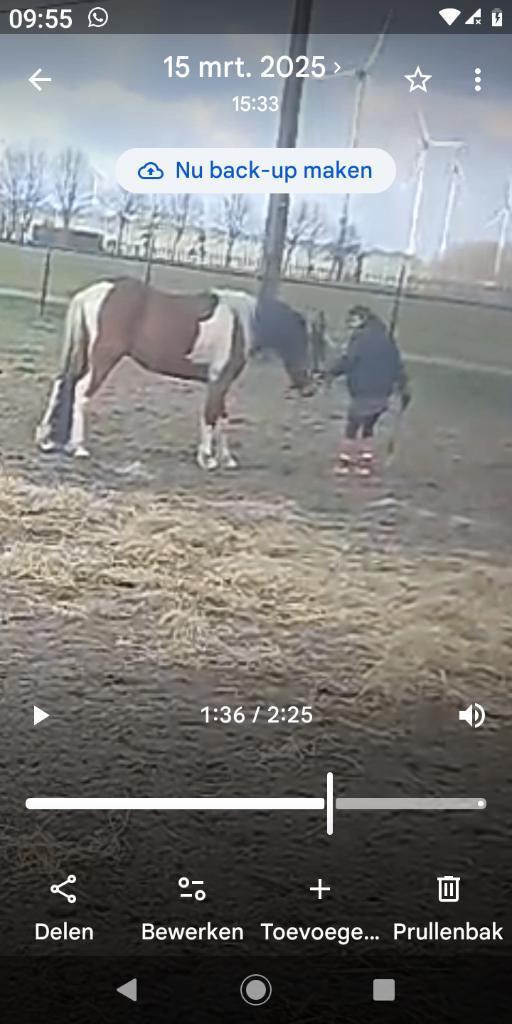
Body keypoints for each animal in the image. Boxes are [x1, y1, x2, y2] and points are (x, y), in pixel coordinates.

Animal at [36, 278, 313, 470]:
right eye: (305, 342)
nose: (308, 386)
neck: (240, 323)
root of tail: (90, 293)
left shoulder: (220, 382)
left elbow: (222, 417)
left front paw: (227, 459)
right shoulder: (219, 380)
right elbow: (210, 416)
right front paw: (207, 459)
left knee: (63, 384)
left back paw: (46, 440)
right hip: (103, 359)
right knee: (81, 392)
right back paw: (78, 447)